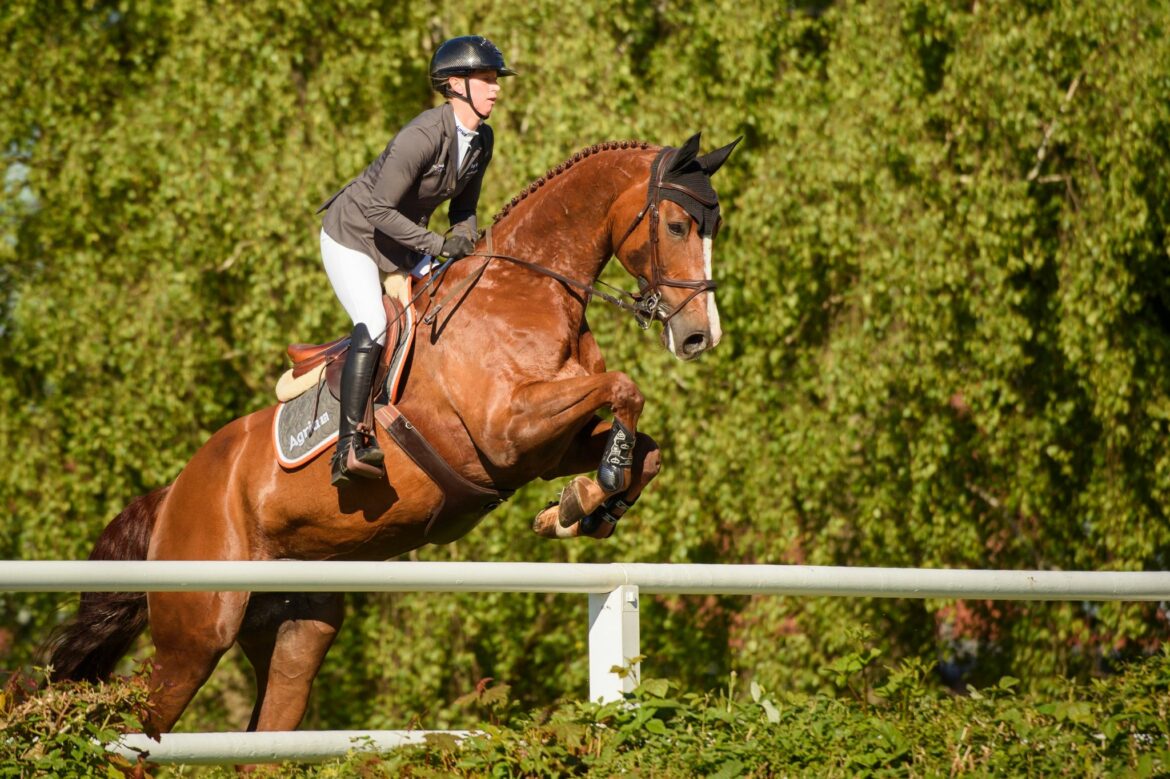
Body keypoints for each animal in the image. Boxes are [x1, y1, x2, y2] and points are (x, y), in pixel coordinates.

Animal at [50, 132, 739, 734]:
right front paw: (586, 497)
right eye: (677, 227)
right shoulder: (508, 430)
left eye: (712, 229)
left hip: (295, 627)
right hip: (196, 631)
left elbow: (645, 447)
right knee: (133, 729)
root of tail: (173, 494)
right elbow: (625, 388)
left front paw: (584, 504)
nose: (699, 337)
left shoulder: (545, 448)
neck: (528, 288)